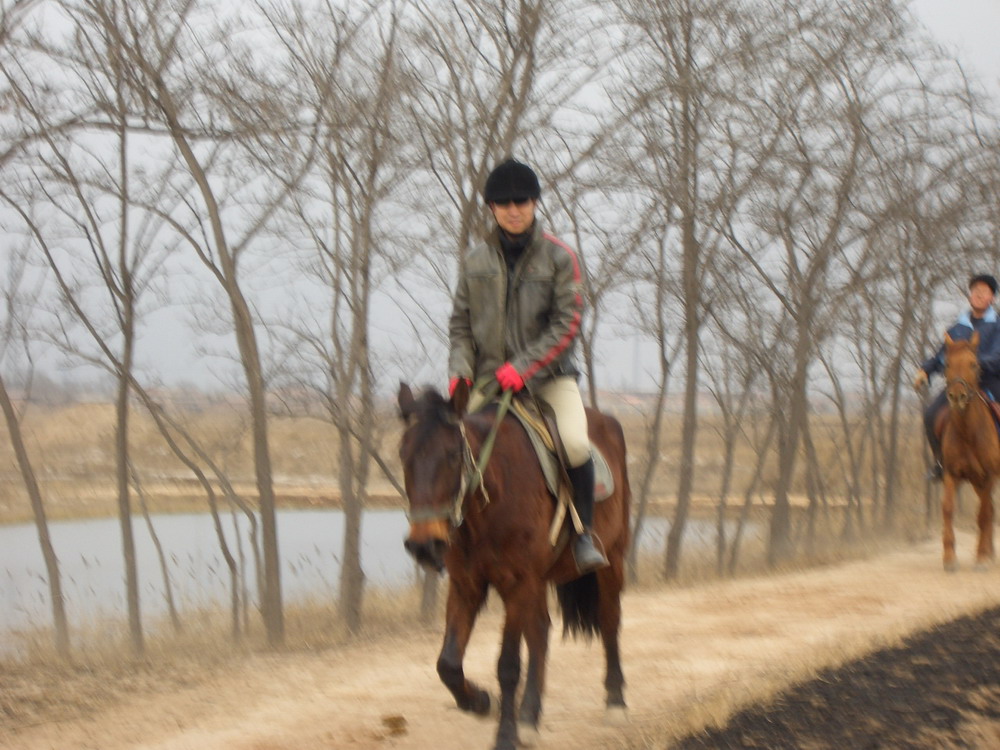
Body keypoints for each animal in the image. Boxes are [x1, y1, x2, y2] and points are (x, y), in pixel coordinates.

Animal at [396, 382, 624, 750]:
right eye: (404, 455)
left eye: (452, 455)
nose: (423, 545)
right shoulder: (467, 585)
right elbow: (448, 663)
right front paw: (478, 701)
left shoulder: (517, 583)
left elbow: (508, 665)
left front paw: (505, 735)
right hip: (538, 582)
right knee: (541, 632)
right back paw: (529, 717)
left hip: (611, 560)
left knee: (609, 620)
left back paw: (615, 701)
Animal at [936, 332, 1000, 572]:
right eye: (947, 365)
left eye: (974, 364)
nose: (957, 397)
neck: (968, 432)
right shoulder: (951, 474)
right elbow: (947, 509)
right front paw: (949, 558)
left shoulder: (989, 475)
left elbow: (983, 514)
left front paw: (981, 558)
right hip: (975, 481)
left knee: (988, 510)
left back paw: (987, 554)